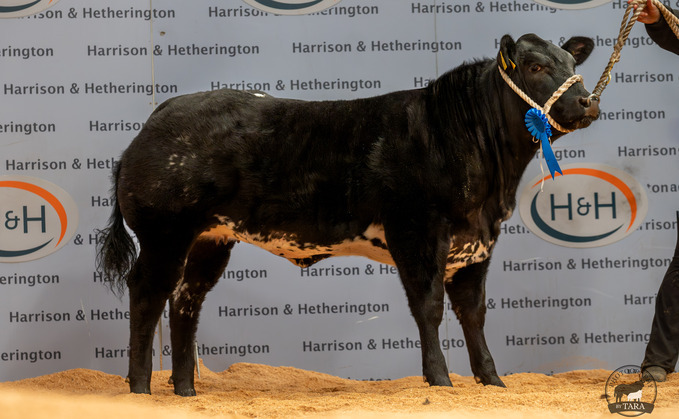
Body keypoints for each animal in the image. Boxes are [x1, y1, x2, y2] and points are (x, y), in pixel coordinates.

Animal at [96, 33, 599, 396]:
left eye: (573, 66)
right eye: (535, 67)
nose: (588, 101)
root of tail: (161, 114)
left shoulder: (477, 241)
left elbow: (473, 312)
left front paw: (492, 382)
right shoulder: (416, 232)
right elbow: (430, 307)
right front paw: (440, 380)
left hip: (210, 239)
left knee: (185, 301)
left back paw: (185, 391)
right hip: (165, 232)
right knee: (147, 294)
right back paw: (140, 389)